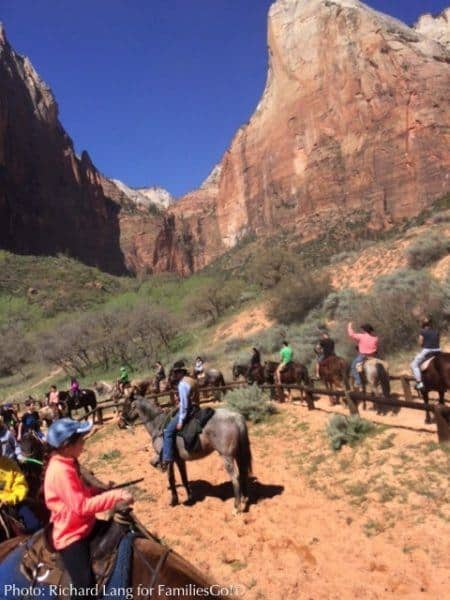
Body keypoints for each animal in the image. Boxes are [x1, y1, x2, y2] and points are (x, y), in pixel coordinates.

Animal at [121, 396, 251, 512]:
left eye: (127, 405)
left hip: (227, 457)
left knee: (235, 477)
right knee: (243, 473)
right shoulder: (179, 460)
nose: (121, 423)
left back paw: (236, 507)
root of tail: (236, 417)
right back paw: (244, 498)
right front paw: (190, 497)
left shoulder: (168, 459)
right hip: (238, 454)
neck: (158, 425)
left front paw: (174, 501)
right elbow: (184, 478)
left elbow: (171, 478)